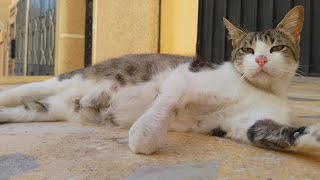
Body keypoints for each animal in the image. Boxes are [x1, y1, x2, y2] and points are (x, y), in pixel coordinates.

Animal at [0, 5, 320, 155]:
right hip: (61, 80)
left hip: (46, 110)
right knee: (22, 91)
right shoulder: (184, 78)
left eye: (276, 48)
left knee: (24, 110)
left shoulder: (247, 123)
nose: (262, 60)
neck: (260, 90)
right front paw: (143, 135)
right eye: (247, 50)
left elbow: (277, 133)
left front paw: (313, 137)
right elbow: (163, 105)